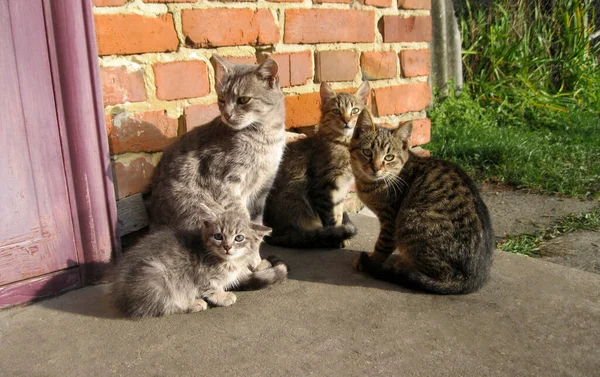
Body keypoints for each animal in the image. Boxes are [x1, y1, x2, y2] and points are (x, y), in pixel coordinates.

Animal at [149, 54, 286, 228]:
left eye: (243, 100)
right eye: (221, 99)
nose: (226, 115)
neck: (267, 136)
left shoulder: (263, 186)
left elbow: (256, 219)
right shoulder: (224, 182)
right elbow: (241, 215)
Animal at [264, 81, 370, 248]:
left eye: (355, 111)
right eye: (336, 111)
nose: (346, 121)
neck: (344, 144)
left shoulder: (340, 191)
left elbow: (338, 214)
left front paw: (342, 235)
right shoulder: (323, 188)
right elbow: (331, 219)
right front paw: (337, 238)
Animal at [350, 108, 494, 294]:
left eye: (389, 157)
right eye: (367, 152)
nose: (375, 168)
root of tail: (471, 279)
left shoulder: (391, 220)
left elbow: (382, 246)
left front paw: (372, 262)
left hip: (410, 221)